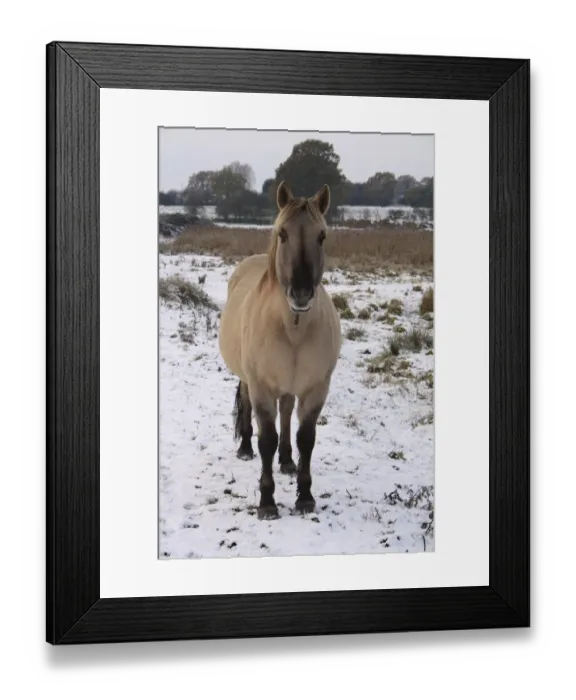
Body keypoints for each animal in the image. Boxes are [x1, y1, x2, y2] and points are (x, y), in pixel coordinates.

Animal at [218, 181, 342, 520]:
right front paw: (267, 501)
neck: (293, 327)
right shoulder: (262, 387)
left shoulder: (316, 389)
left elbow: (306, 439)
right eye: (282, 233)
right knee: (247, 405)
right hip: (248, 380)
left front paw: (305, 496)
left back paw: (287, 461)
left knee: (286, 411)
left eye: (322, 236)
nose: (301, 293)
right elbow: (267, 440)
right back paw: (245, 448)